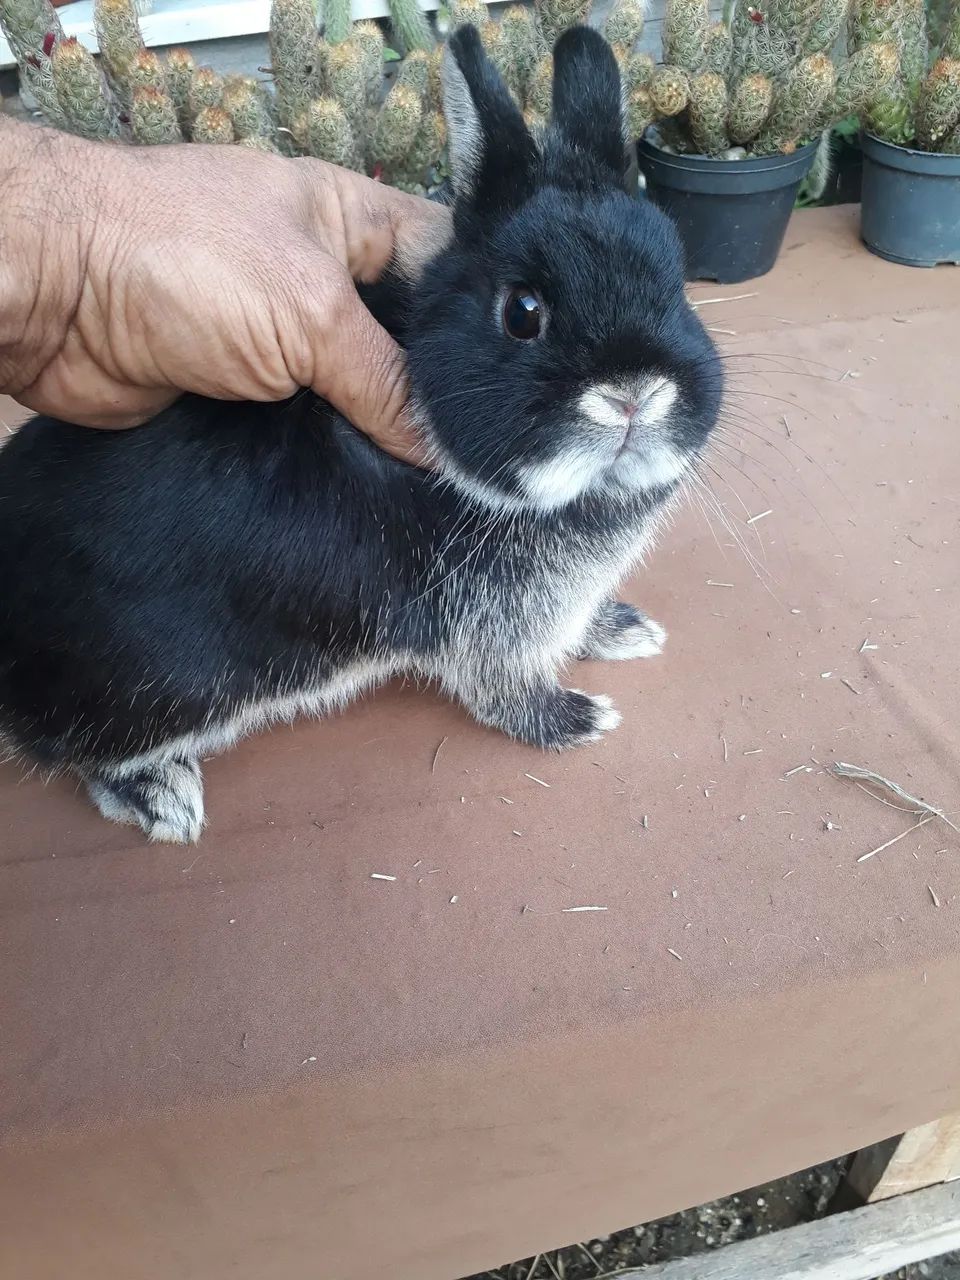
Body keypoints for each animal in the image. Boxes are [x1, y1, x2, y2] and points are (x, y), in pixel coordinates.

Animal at [0, 25, 723, 844]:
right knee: (80, 755)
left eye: (677, 283)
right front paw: (576, 719)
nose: (634, 395)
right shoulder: (487, 627)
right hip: (161, 689)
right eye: (523, 312)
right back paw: (164, 798)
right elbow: (501, 689)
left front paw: (623, 629)